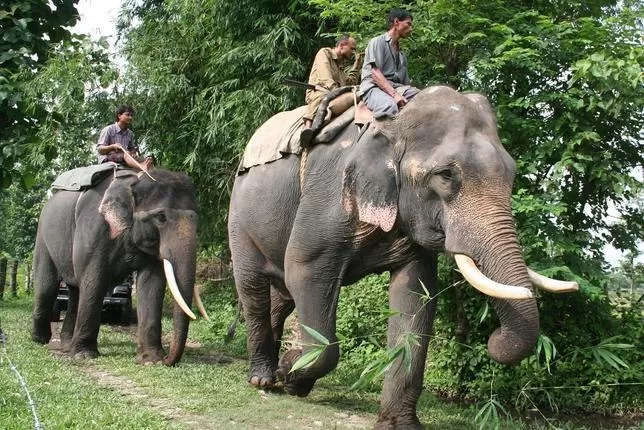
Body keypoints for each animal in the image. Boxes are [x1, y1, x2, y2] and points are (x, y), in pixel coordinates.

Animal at [30, 169, 206, 366]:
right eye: (161, 217)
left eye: (196, 219)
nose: (167, 360)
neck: (134, 181)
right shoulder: (94, 229)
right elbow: (94, 281)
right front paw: (85, 355)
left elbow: (151, 284)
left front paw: (151, 360)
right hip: (43, 236)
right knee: (47, 285)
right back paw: (40, 339)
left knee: (75, 290)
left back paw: (66, 345)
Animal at [228, 85, 580, 428]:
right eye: (446, 175)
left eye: (512, 173)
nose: (493, 338)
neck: (393, 123)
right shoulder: (327, 196)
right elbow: (304, 269)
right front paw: (292, 374)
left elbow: (415, 294)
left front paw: (399, 424)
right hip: (239, 216)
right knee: (254, 290)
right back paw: (263, 379)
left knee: (282, 296)